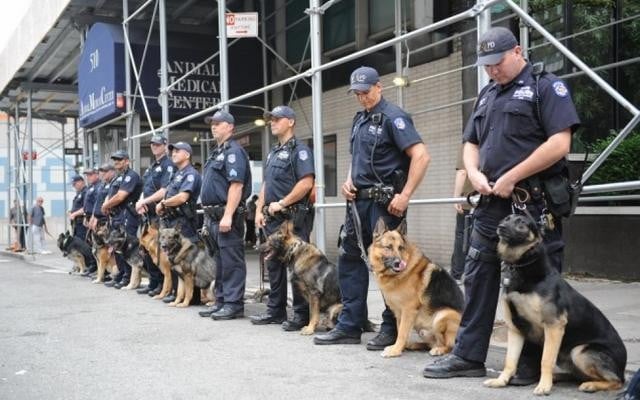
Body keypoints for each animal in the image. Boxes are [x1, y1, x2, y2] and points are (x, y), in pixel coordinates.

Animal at [370, 219, 464, 360]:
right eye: (388, 247)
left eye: (400, 248)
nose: (399, 263)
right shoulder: (399, 313)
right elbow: (400, 331)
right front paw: (398, 348)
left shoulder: (408, 310)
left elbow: (402, 333)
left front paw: (395, 351)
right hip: (424, 330)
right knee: (430, 343)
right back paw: (413, 345)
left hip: (442, 315)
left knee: (449, 346)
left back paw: (439, 350)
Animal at [484, 214, 624, 396]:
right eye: (506, 219)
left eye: (522, 222)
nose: (500, 227)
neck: (521, 265)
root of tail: (624, 367)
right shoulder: (515, 328)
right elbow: (510, 361)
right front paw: (501, 381)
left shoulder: (553, 326)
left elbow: (546, 360)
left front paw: (544, 386)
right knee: (577, 375)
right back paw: (559, 378)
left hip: (579, 351)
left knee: (617, 381)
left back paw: (590, 385)